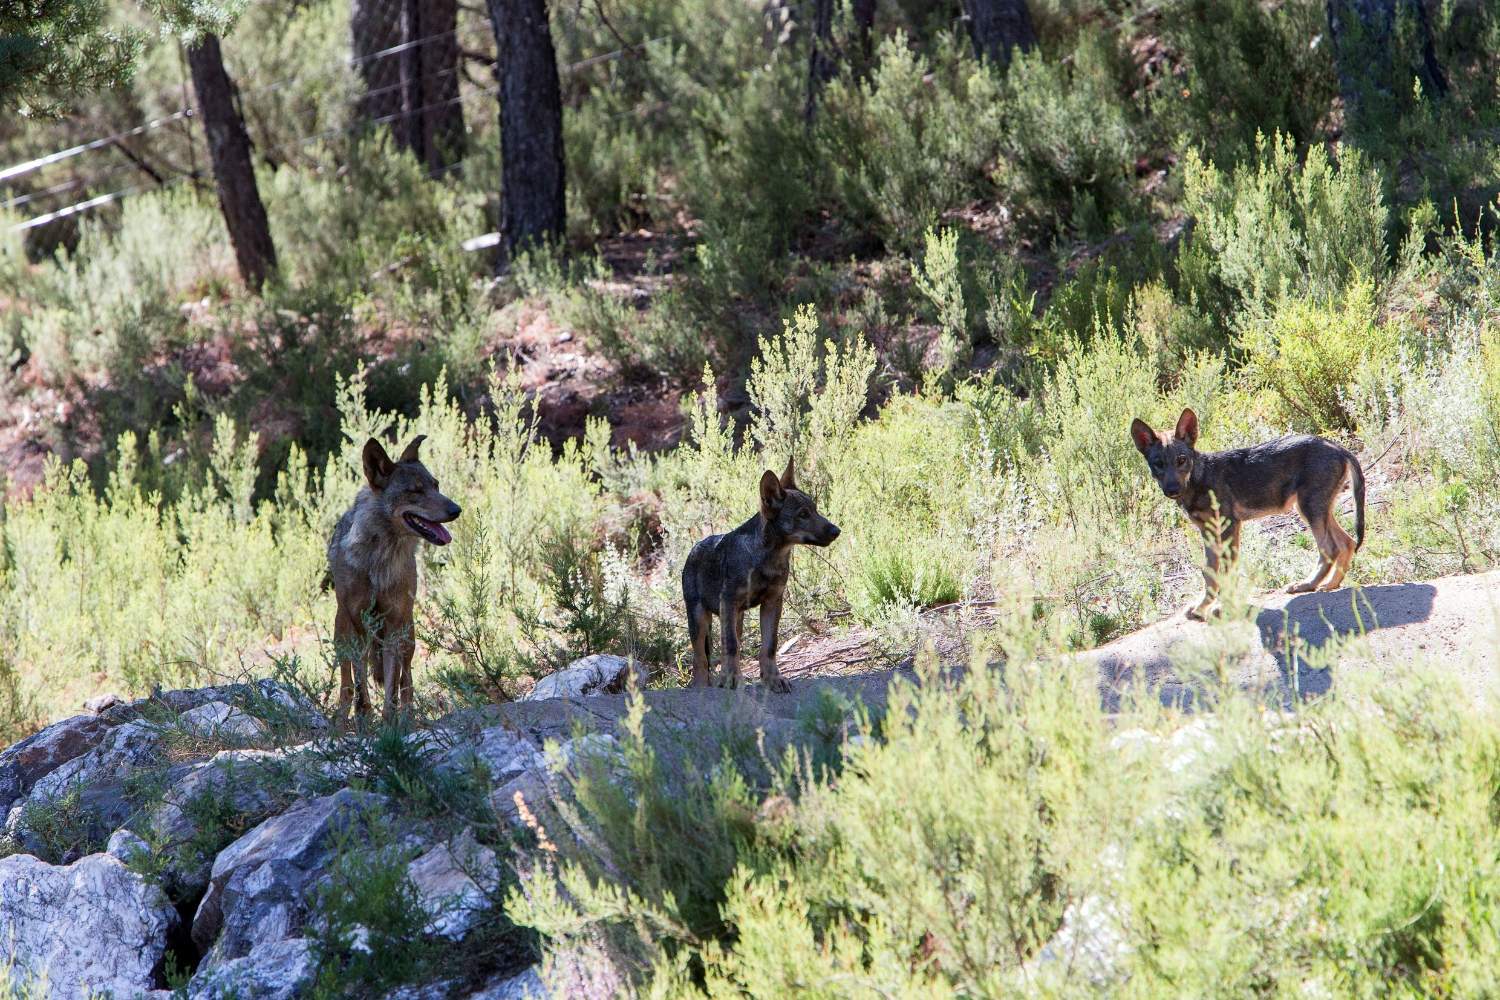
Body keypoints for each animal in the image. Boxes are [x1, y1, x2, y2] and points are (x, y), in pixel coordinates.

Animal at [328, 435, 461, 722]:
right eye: (415, 491)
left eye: (436, 486)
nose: (457, 509)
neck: (379, 560)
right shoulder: (358, 626)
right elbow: (359, 684)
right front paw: (364, 717)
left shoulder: (393, 628)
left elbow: (392, 689)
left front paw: (391, 724)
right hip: (342, 632)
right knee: (346, 682)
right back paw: (342, 719)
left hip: (407, 632)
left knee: (406, 680)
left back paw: (407, 716)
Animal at [681, 459, 840, 693]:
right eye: (803, 514)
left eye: (815, 510)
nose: (836, 531)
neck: (767, 558)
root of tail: (694, 548)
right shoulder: (729, 602)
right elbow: (730, 646)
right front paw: (732, 680)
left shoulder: (772, 602)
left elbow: (769, 646)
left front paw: (773, 679)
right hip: (700, 619)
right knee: (701, 658)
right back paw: (703, 687)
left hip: (736, 618)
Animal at [1130, 408, 1365, 620]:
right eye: (1158, 464)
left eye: (1181, 460)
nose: (1172, 490)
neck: (1198, 480)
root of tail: (1338, 447)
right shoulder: (1208, 532)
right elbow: (1210, 574)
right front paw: (1201, 607)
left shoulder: (1229, 527)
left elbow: (1227, 573)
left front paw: (1222, 608)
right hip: (1315, 509)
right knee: (1347, 542)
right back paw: (1331, 584)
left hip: (1310, 508)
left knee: (1330, 548)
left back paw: (1307, 584)